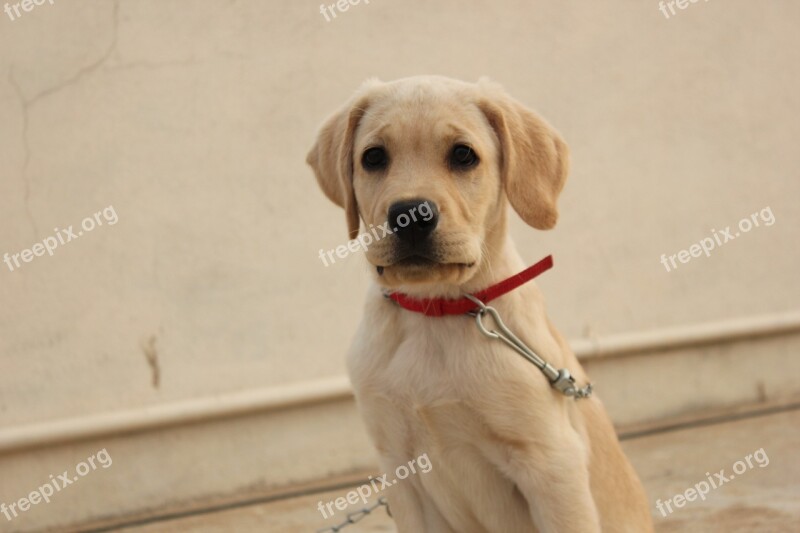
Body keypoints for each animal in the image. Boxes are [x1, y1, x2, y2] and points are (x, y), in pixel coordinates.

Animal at [306, 76, 648, 532]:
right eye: (374, 157)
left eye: (463, 155)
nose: (411, 216)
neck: (435, 312)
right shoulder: (400, 471)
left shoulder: (553, 463)